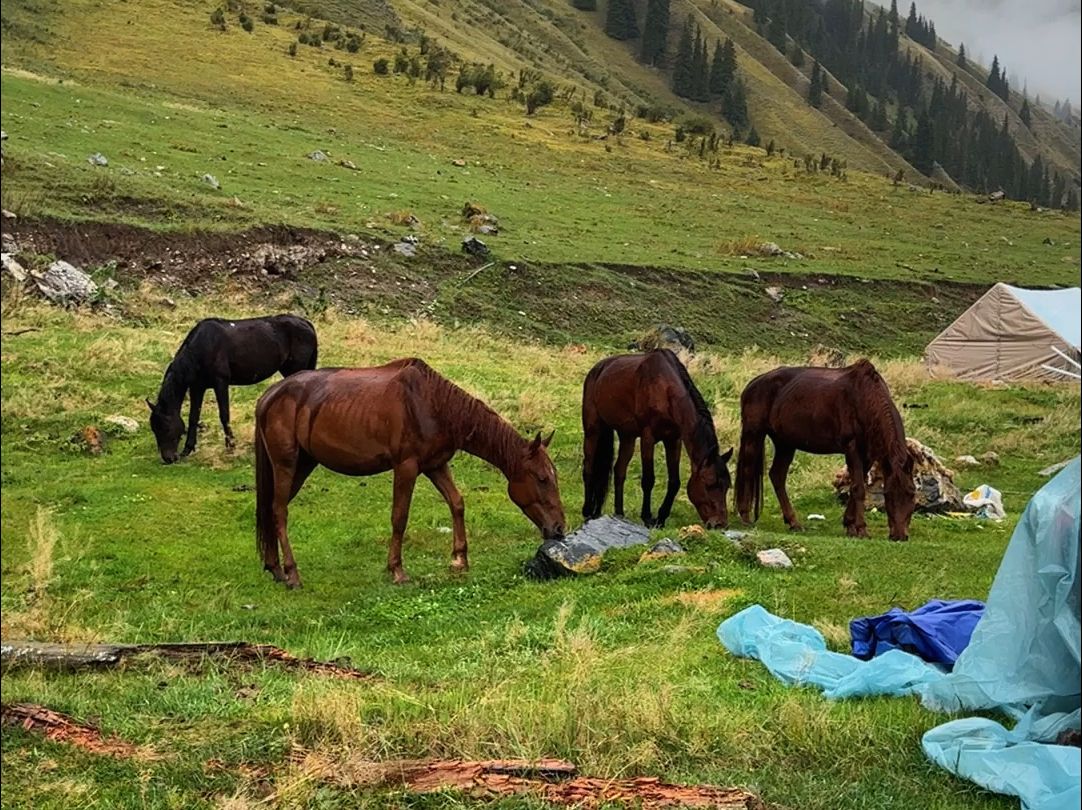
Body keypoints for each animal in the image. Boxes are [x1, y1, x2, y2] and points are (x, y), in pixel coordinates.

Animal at [148, 313, 315, 460]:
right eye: (154, 429)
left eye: (165, 427)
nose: (168, 458)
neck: (202, 346)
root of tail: (306, 323)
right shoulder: (197, 387)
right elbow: (193, 417)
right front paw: (187, 449)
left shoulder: (220, 383)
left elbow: (224, 415)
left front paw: (231, 447)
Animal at [253, 356, 566, 583]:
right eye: (541, 478)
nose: (560, 528)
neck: (433, 404)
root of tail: (270, 395)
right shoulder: (406, 467)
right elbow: (399, 517)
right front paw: (396, 569)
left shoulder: (436, 465)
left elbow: (457, 503)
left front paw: (459, 559)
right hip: (286, 464)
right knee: (280, 511)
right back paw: (292, 573)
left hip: (303, 465)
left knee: (271, 508)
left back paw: (275, 568)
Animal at [579, 348, 731, 527]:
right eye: (709, 484)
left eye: (727, 486)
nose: (719, 524)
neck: (664, 389)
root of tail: (596, 369)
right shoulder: (648, 438)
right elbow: (648, 479)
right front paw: (647, 517)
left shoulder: (673, 440)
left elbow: (674, 482)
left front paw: (661, 518)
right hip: (593, 430)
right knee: (588, 467)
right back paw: (588, 511)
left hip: (627, 436)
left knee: (619, 471)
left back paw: (619, 513)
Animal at [735, 359, 913, 536]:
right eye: (887, 494)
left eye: (911, 493)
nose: (899, 536)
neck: (865, 398)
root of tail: (752, 384)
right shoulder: (852, 449)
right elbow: (858, 489)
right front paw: (861, 529)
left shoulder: (867, 455)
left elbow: (857, 485)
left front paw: (849, 524)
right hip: (754, 434)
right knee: (747, 471)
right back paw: (745, 516)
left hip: (785, 444)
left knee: (777, 476)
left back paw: (793, 522)